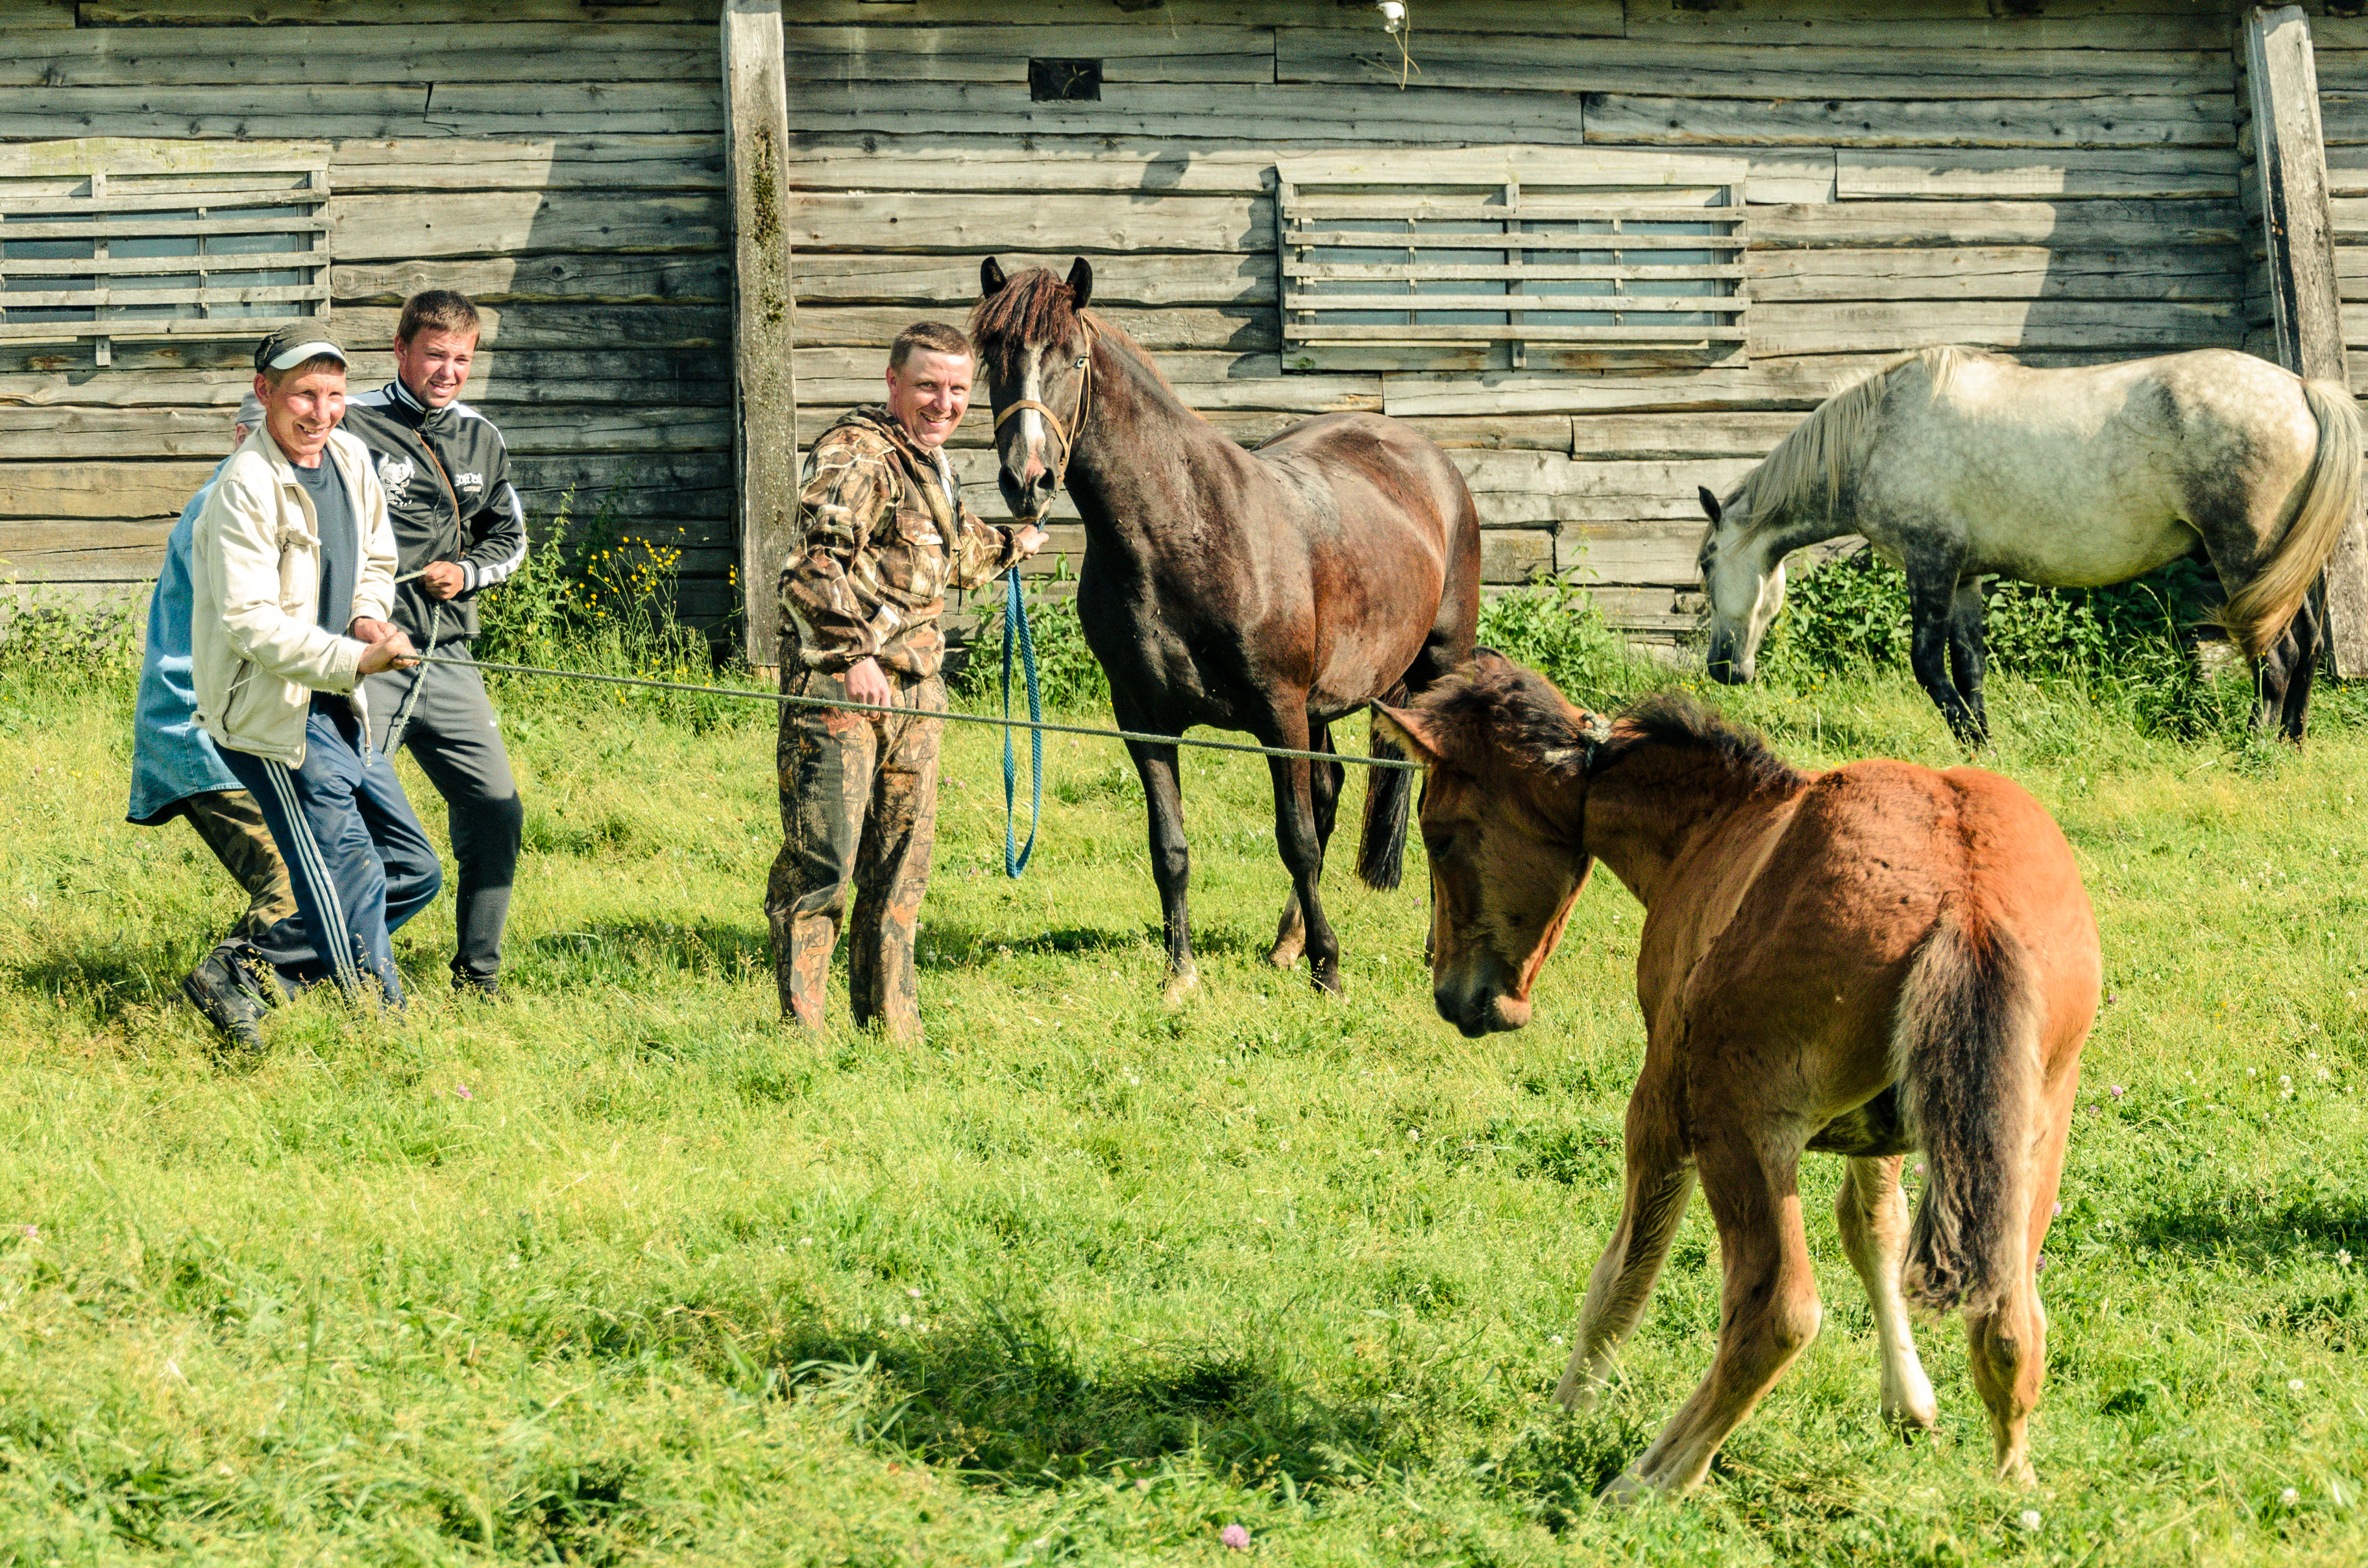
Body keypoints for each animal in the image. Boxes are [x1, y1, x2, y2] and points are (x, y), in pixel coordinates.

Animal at [971, 258, 1468, 995]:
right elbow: (1170, 846)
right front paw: (1180, 973)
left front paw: (1329, 968)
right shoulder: (1143, 719)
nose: (1026, 481)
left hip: (1433, 669)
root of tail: (1427, 459)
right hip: (1321, 704)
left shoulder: (1279, 710)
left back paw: (1435, 949)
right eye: (993, 358)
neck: (1185, 527)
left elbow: (1296, 839)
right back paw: (1287, 942)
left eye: (1074, 357)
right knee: (1329, 793)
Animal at [1383, 658, 2103, 1497]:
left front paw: (1563, 1413)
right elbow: (1874, 1231)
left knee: (1777, 1313)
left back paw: (1651, 1479)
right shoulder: (1884, 1137)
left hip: (1739, 1127)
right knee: (2010, 1319)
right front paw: (1911, 1402)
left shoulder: (1663, 1102)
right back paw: (2013, 1489)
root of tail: (1968, 906)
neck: (1718, 823)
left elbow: (1623, 1274)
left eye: (1440, 833)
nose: (1455, 996)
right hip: (2029, 1136)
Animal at [1695, 350, 2358, 743]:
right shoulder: (1963, 576)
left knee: (2278, 657)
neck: (1878, 434)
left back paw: (2255, 747)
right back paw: (2292, 741)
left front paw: (1966, 737)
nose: (1721, 669)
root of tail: (2301, 388)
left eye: (1705, 564)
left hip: (2243, 561)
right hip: (2283, 569)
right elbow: (1969, 663)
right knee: (2308, 645)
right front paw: (1981, 741)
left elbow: (1926, 662)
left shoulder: (1929, 565)